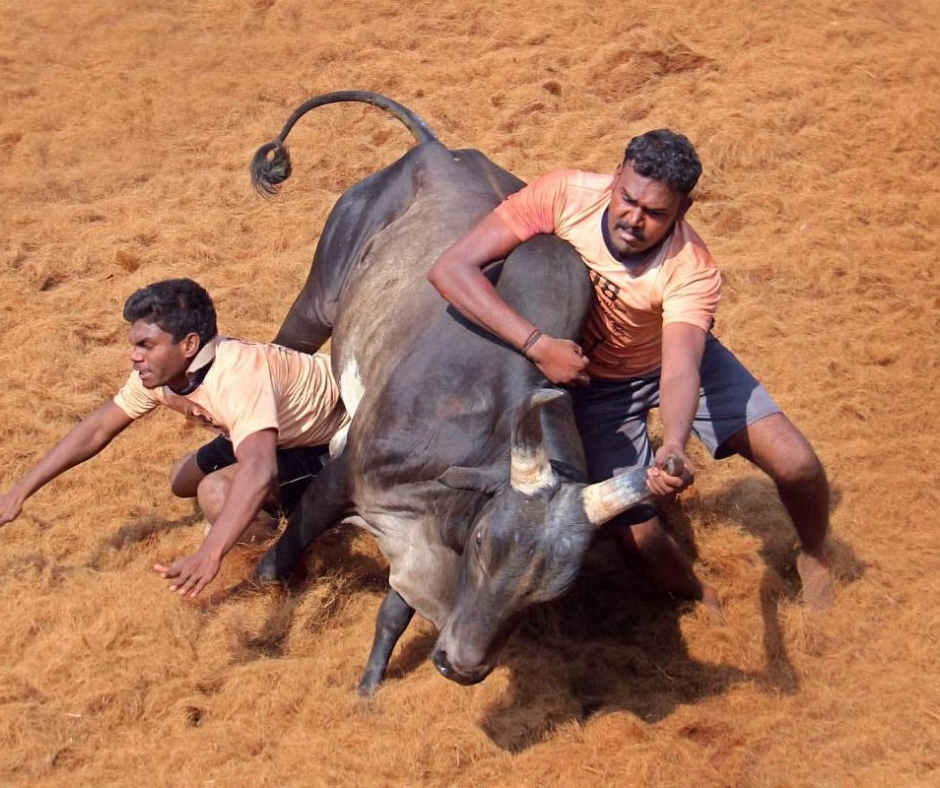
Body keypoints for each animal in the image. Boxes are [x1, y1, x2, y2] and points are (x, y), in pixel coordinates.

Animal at [252, 92, 668, 692]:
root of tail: (435, 152)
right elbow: (285, 551)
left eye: (554, 587)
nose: (462, 667)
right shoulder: (344, 473)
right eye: (483, 544)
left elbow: (394, 613)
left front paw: (370, 685)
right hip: (316, 303)